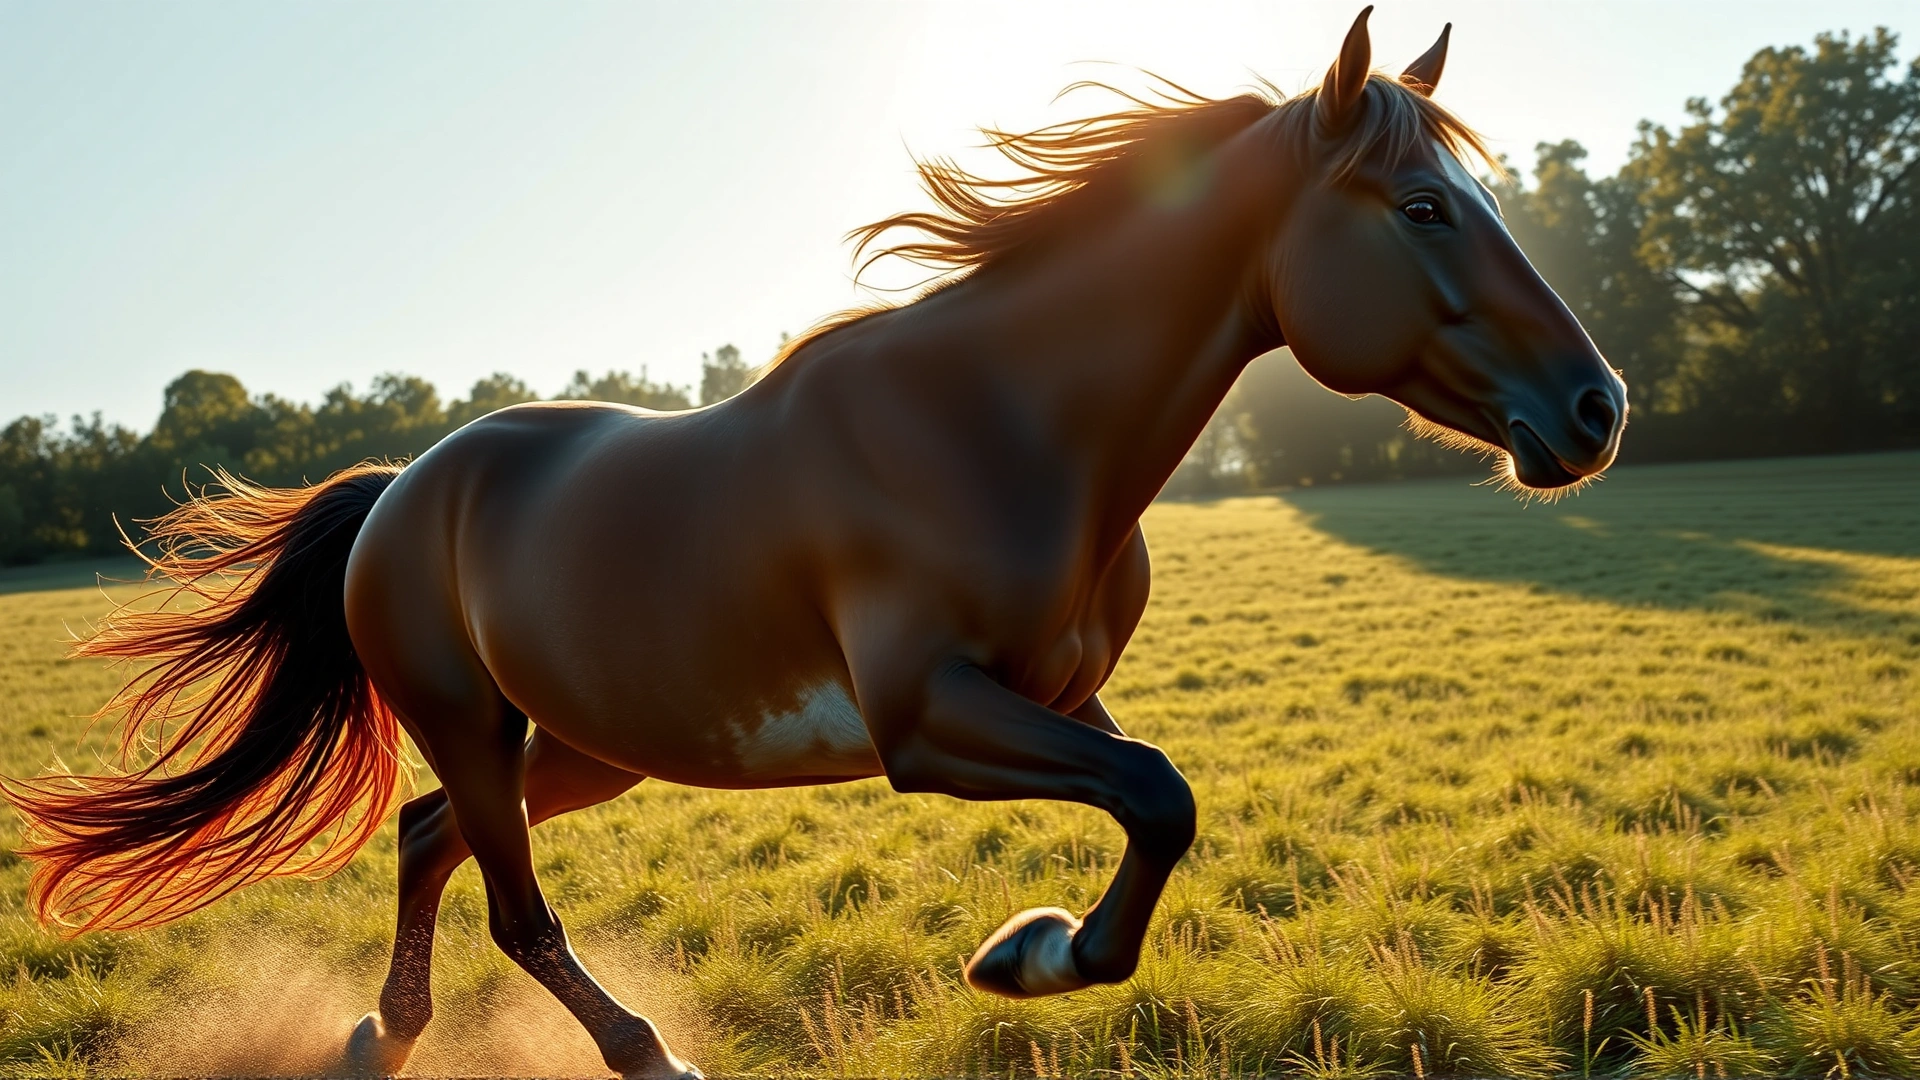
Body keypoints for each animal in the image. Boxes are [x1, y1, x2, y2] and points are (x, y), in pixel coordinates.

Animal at [3, 9, 1625, 1077]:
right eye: (1423, 206)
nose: (1594, 409)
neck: (1006, 426)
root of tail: (406, 485)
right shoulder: (925, 718)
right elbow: (1161, 796)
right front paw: (1033, 953)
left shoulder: (1058, 696)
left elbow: (1160, 803)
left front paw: (1020, 954)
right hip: (473, 719)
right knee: (513, 905)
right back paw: (643, 1055)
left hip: (583, 743)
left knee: (426, 839)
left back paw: (381, 1040)